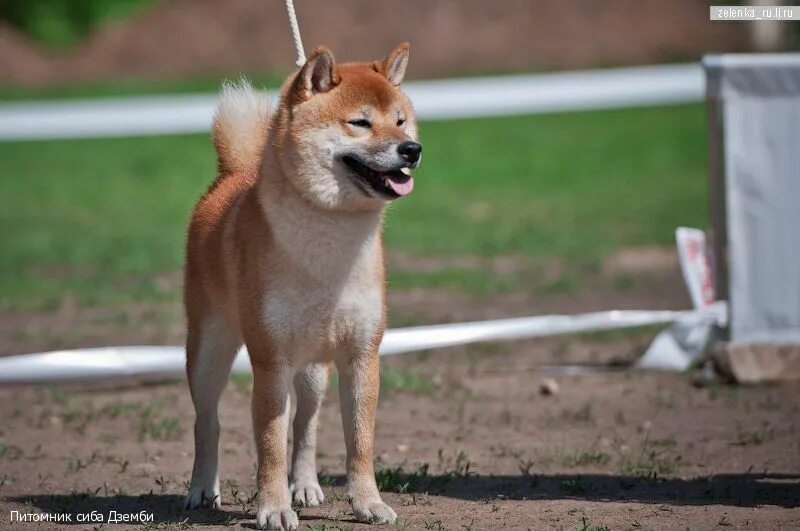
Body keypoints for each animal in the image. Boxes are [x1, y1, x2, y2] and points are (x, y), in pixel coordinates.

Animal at [181, 42, 418, 531]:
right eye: (360, 122)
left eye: (400, 119)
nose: (412, 150)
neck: (330, 237)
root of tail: (233, 174)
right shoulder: (270, 362)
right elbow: (269, 448)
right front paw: (273, 509)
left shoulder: (361, 356)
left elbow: (359, 443)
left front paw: (368, 504)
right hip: (209, 351)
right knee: (207, 422)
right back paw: (202, 489)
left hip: (312, 369)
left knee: (305, 425)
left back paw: (306, 486)